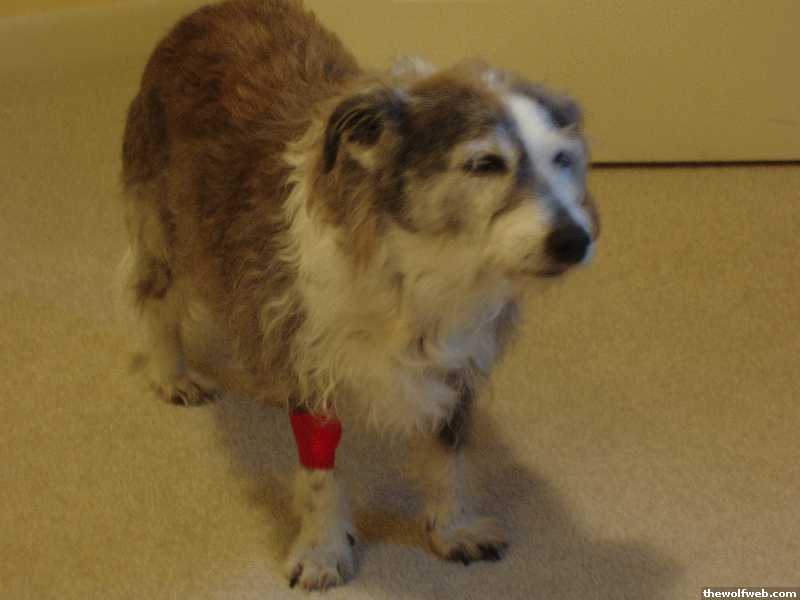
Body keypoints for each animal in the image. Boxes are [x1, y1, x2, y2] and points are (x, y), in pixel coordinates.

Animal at [120, 0, 599, 591]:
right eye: (484, 163)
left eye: (562, 158)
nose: (575, 240)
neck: (422, 271)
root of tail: (214, 11)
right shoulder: (314, 363)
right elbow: (320, 476)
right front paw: (323, 550)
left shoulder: (456, 369)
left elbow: (448, 457)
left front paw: (452, 528)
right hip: (168, 226)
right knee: (155, 298)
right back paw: (173, 374)